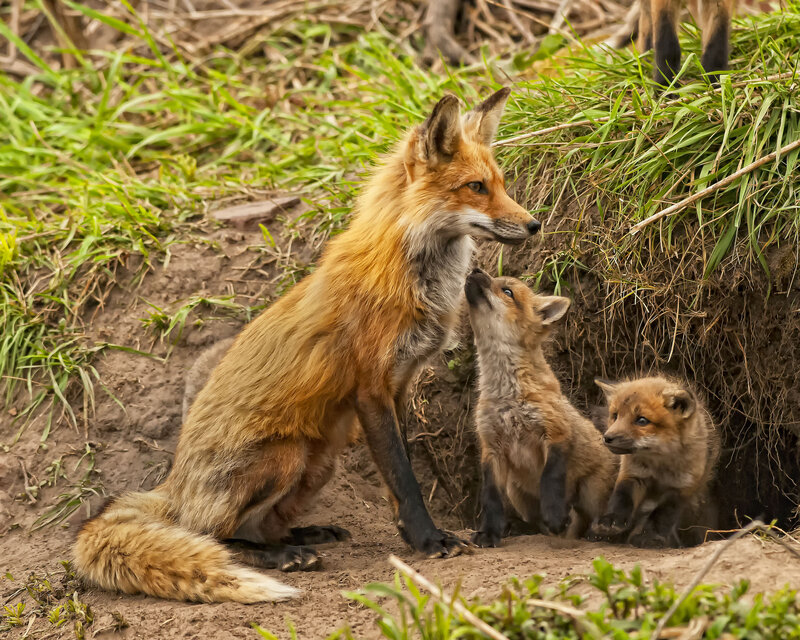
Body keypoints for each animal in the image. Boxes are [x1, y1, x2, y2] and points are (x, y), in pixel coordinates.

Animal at [73, 88, 541, 603]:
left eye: (501, 184)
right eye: (476, 187)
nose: (534, 224)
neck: (409, 272)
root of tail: (173, 487)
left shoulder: (399, 385)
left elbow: (399, 477)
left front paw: (411, 536)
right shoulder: (370, 389)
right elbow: (405, 479)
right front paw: (428, 540)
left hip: (319, 463)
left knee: (256, 526)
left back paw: (302, 536)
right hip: (286, 456)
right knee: (215, 535)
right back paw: (281, 556)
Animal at [465, 270, 618, 547]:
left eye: (507, 291)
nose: (475, 270)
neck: (507, 395)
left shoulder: (555, 433)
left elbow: (550, 480)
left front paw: (555, 516)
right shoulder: (491, 446)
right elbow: (491, 498)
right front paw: (489, 532)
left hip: (591, 491)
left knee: (589, 520)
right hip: (516, 491)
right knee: (536, 523)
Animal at [588, 376, 720, 547]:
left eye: (642, 420)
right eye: (615, 416)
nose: (607, 438)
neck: (659, 465)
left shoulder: (683, 487)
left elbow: (663, 515)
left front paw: (651, 536)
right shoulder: (633, 474)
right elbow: (621, 499)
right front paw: (610, 521)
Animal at [605, 0, 737, 85]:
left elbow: (716, 44)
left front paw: (715, 81)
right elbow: (667, 45)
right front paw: (666, 85)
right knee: (645, 25)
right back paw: (646, 63)